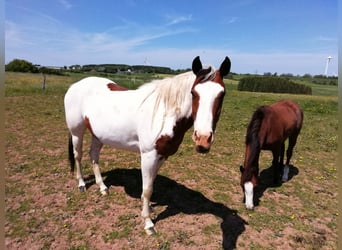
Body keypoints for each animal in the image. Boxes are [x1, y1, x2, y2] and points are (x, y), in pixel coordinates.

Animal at [65, 56, 230, 234]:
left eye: (222, 94)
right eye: (193, 93)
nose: (203, 140)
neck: (165, 114)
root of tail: (75, 86)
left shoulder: (161, 155)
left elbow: (151, 183)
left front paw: (149, 208)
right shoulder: (148, 156)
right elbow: (147, 189)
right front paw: (148, 223)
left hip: (98, 135)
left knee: (94, 156)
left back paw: (102, 187)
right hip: (77, 132)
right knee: (78, 156)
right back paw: (81, 184)